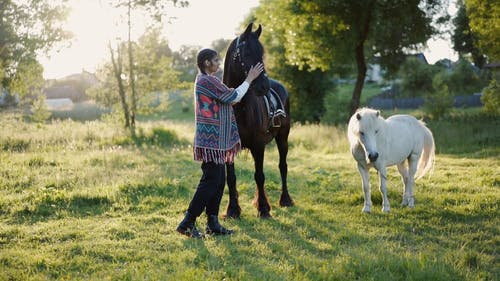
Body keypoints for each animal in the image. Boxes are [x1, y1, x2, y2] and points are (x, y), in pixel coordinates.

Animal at [223, 23, 292, 218]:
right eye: (246, 53)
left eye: (261, 53)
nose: (263, 86)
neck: (238, 105)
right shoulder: (228, 147)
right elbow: (231, 178)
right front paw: (233, 209)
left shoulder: (258, 145)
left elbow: (259, 176)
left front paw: (263, 208)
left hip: (283, 138)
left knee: (283, 166)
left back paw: (285, 200)